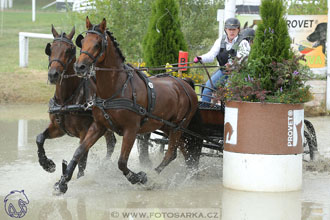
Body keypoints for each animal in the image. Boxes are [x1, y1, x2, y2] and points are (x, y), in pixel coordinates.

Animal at [36, 24, 116, 179]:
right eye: (51, 49)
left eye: (69, 50)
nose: (53, 75)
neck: (66, 101)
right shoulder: (58, 128)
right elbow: (39, 138)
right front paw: (47, 164)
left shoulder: (85, 133)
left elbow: (81, 161)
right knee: (111, 142)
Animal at [53, 17, 197, 194]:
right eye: (83, 42)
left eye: (97, 44)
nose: (79, 67)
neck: (116, 88)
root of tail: (185, 84)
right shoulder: (99, 126)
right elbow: (79, 151)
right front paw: (62, 183)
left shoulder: (131, 130)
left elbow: (121, 162)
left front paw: (138, 177)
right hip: (168, 127)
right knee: (183, 151)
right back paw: (190, 173)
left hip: (178, 126)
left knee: (171, 153)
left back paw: (153, 176)